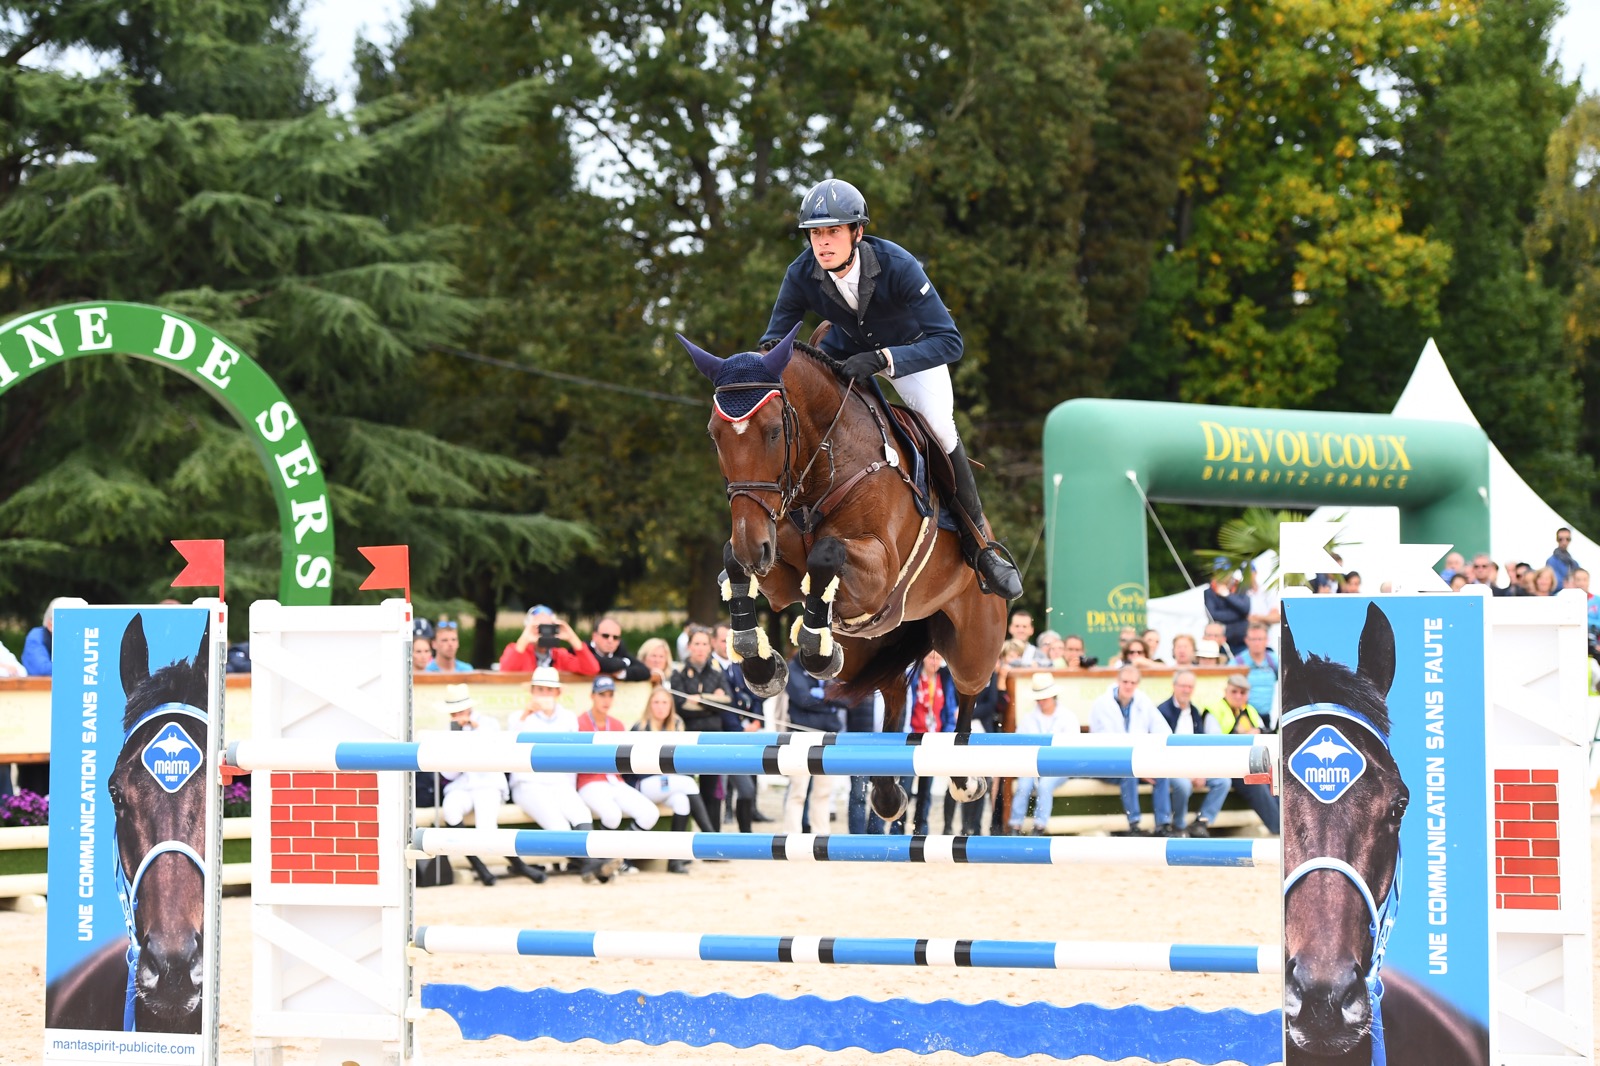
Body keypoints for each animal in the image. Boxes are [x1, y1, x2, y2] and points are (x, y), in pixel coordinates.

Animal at [681, 320, 1004, 816]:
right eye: (715, 434)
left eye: (772, 432)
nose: (755, 546)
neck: (824, 465)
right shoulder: (777, 572)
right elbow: (736, 563)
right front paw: (761, 664)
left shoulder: (879, 571)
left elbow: (826, 554)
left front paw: (814, 645)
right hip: (869, 649)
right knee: (893, 690)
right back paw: (888, 790)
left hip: (974, 642)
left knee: (968, 691)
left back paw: (965, 775)